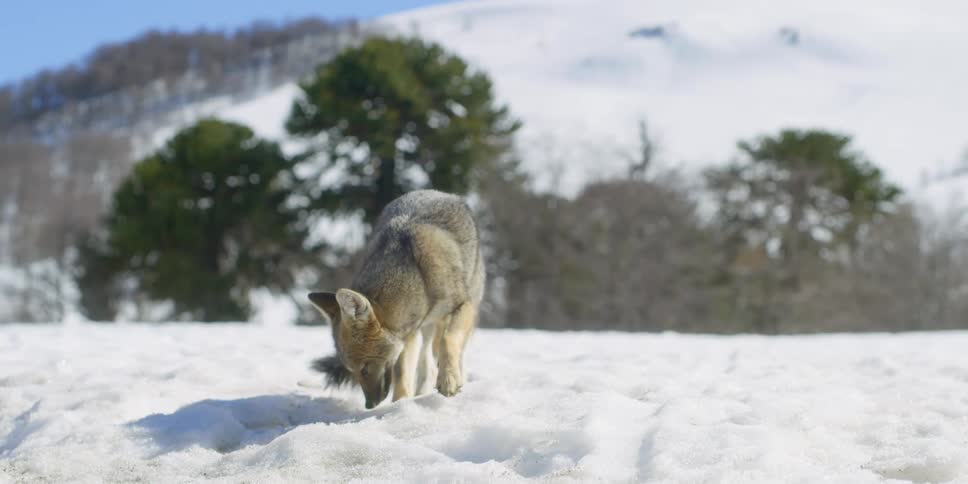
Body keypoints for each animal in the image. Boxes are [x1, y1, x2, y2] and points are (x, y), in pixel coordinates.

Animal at [307, 189, 485, 409]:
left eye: (365, 369)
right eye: (352, 371)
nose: (369, 405)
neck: (419, 282)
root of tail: (444, 193)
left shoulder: (462, 305)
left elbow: (448, 340)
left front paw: (449, 379)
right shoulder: (408, 336)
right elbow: (402, 374)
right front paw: (401, 405)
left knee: (444, 349)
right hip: (423, 335)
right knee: (427, 363)